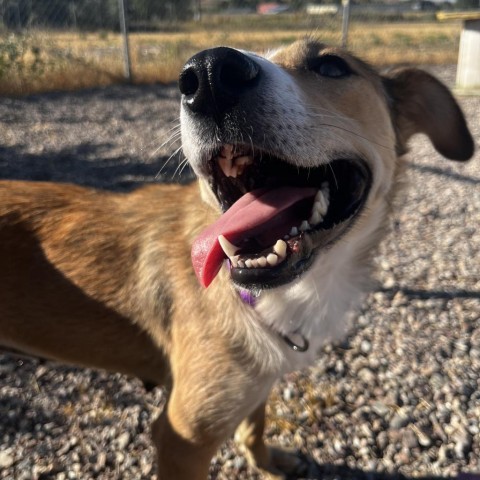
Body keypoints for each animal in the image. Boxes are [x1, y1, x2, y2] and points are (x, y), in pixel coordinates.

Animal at [0, 39, 472, 478]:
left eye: (332, 66)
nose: (208, 74)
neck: (290, 292)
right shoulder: (181, 439)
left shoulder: (260, 381)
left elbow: (255, 426)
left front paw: (265, 462)